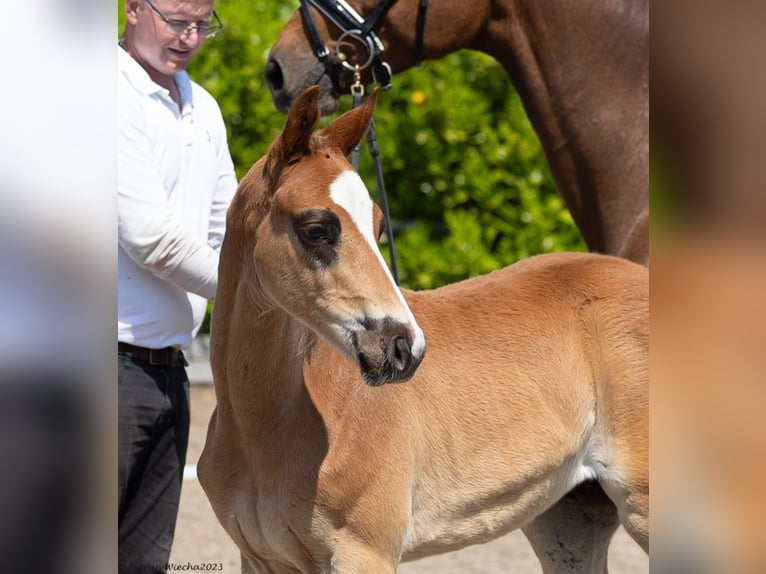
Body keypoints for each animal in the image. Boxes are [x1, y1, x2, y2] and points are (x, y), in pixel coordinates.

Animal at [198, 88, 648, 572]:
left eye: (378, 225)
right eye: (316, 229)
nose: (403, 348)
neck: (265, 429)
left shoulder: (364, 554)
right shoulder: (260, 559)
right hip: (567, 518)